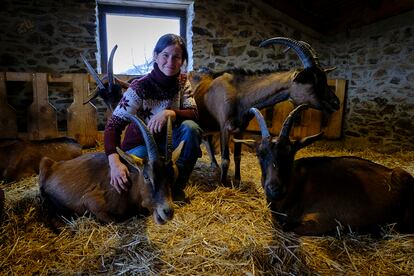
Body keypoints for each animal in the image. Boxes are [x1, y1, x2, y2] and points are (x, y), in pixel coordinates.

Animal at [38, 114, 183, 224]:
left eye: (172, 176)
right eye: (147, 176)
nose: (168, 212)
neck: (129, 189)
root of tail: (54, 165)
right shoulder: (91, 201)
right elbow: (116, 220)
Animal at [188, 36, 340, 185]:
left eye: (324, 79)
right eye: (313, 81)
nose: (336, 103)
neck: (238, 92)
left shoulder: (240, 129)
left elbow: (237, 156)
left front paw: (238, 180)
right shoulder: (225, 128)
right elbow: (226, 158)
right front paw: (223, 183)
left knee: (206, 139)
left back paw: (214, 165)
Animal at [241, 105, 414, 235]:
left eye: (290, 153)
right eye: (259, 154)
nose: (274, 188)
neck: (299, 186)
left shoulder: (324, 220)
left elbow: (290, 229)